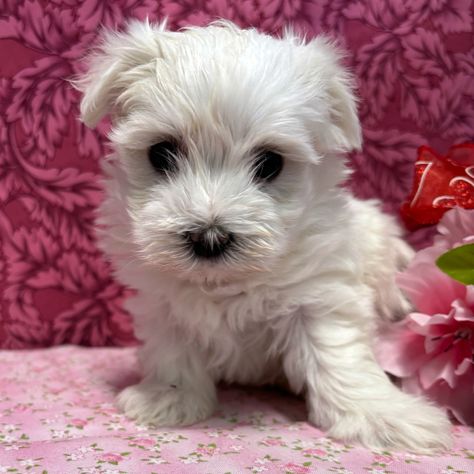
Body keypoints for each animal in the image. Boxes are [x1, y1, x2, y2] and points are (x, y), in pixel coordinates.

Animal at [78, 20, 452, 452]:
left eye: (270, 162)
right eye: (160, 153)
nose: (209, 237)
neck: (224, 282)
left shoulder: (320, 294)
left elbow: (336, 353)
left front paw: (382, 416)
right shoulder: (162, 300)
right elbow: (172, 350)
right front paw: (169, 399)